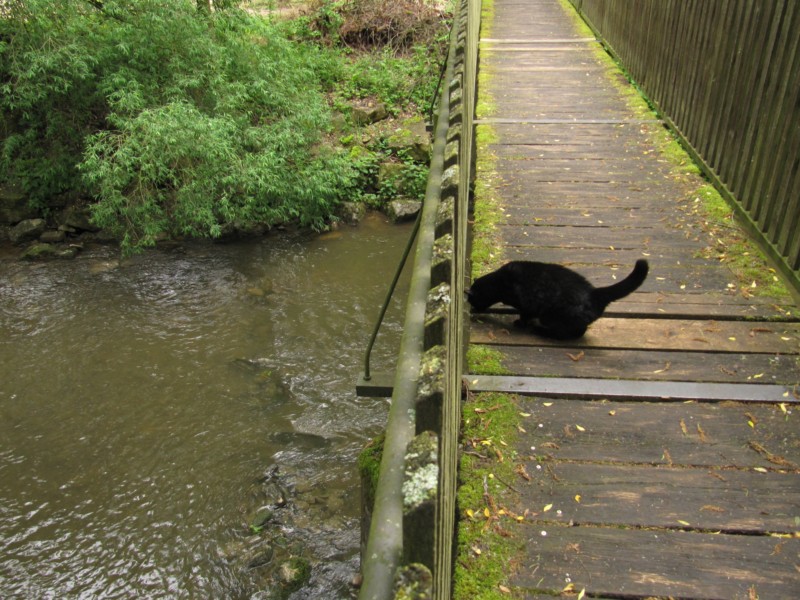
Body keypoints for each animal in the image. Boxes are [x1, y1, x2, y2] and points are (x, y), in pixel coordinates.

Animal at [468, 260, 648, 340]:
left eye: (472, 300)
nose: (471, 309)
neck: (499, 283)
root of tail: (594, 292)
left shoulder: (526, 304)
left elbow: (525, 315)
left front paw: (520, 323)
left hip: (550, 315)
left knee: (573, 332)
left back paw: (541, 331)